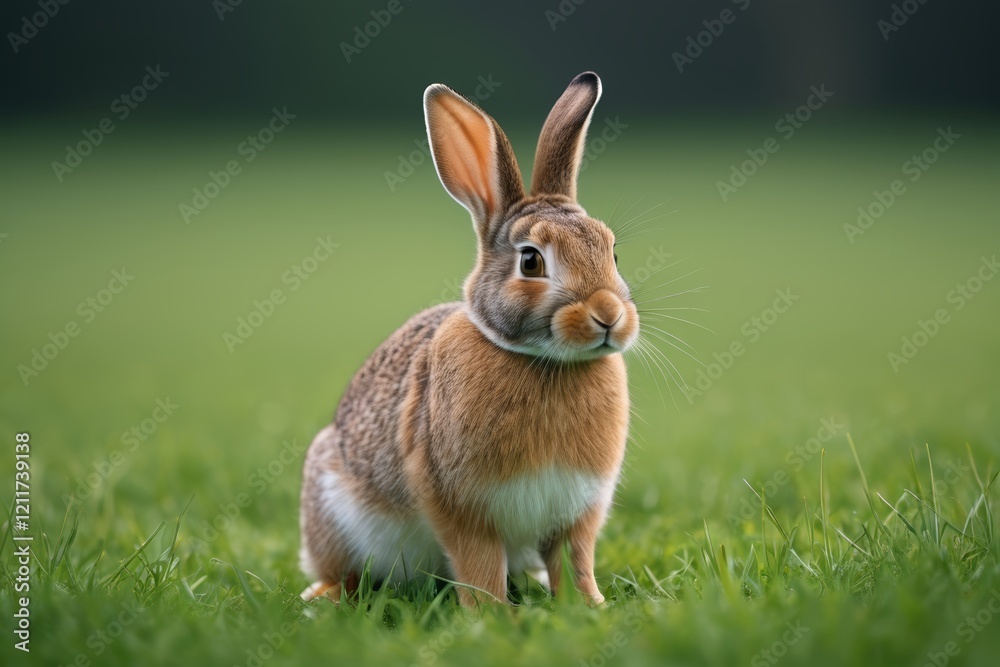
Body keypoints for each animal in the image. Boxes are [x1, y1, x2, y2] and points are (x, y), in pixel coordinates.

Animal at [299, 71, 639, 607]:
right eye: (531, 261)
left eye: (612, 252)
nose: (609, 315)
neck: (541, 360)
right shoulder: (461, 507)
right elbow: (478, 565)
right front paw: (492, 614)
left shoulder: (578, 510)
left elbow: (577, 561)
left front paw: (589, 606)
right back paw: (322, 595)